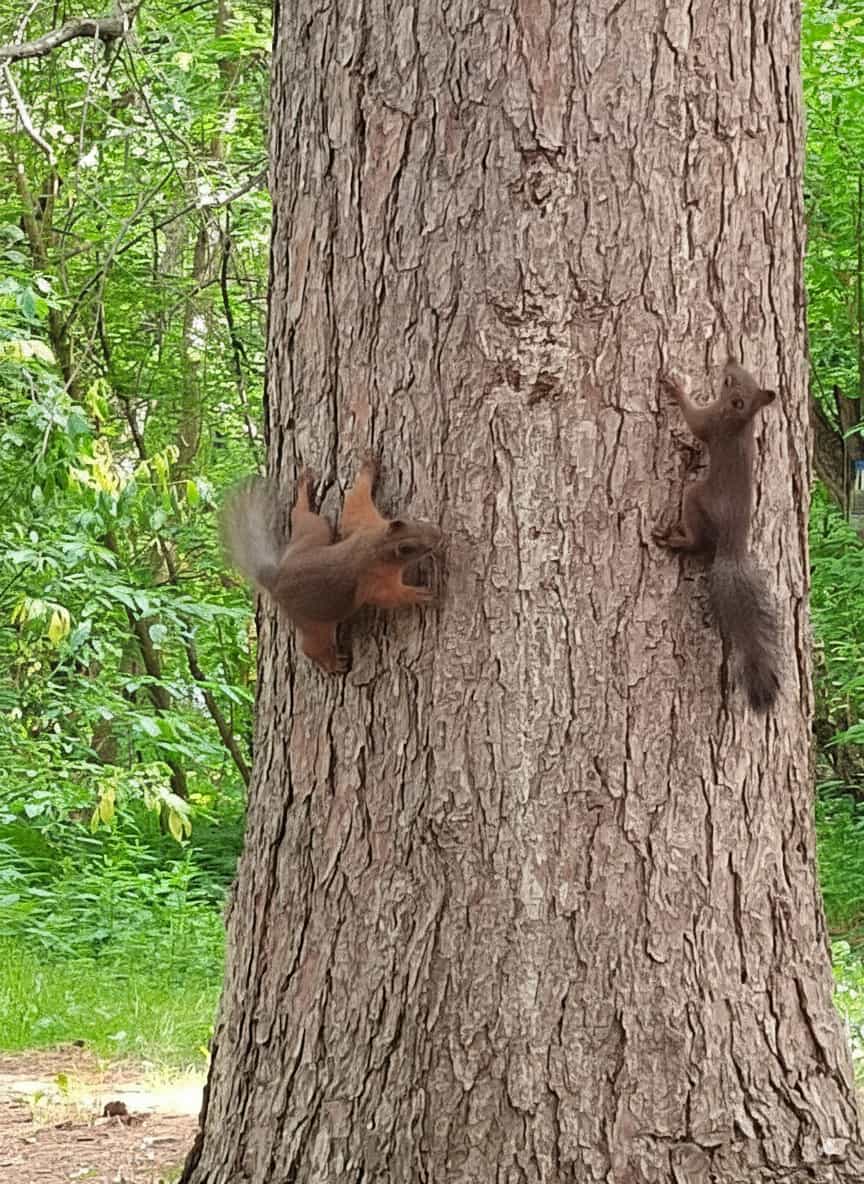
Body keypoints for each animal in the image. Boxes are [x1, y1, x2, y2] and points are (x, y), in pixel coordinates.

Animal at [222, 455, 442, 673]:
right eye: (415, 548)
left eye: (417, 522)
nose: (440, 535)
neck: (377, 544)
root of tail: (275, 579)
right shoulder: (372, 579)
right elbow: (387, 597)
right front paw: (417, 594)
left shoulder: (365, 524)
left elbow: (355, 499)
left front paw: (368, 464)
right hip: (313, 621)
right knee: (310, 647)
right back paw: (332, 663)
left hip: (311, 536)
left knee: (301, 516)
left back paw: (303, 487)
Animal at [653, 359, 780, 712]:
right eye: (740, 374)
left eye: (728, 381)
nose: (730, 358)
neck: (741, 419)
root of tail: (732, 546)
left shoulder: (711, 423)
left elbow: (694, 422)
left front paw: (676, 388)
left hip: (696, 497)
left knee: (698, 540)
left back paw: (677, 539)